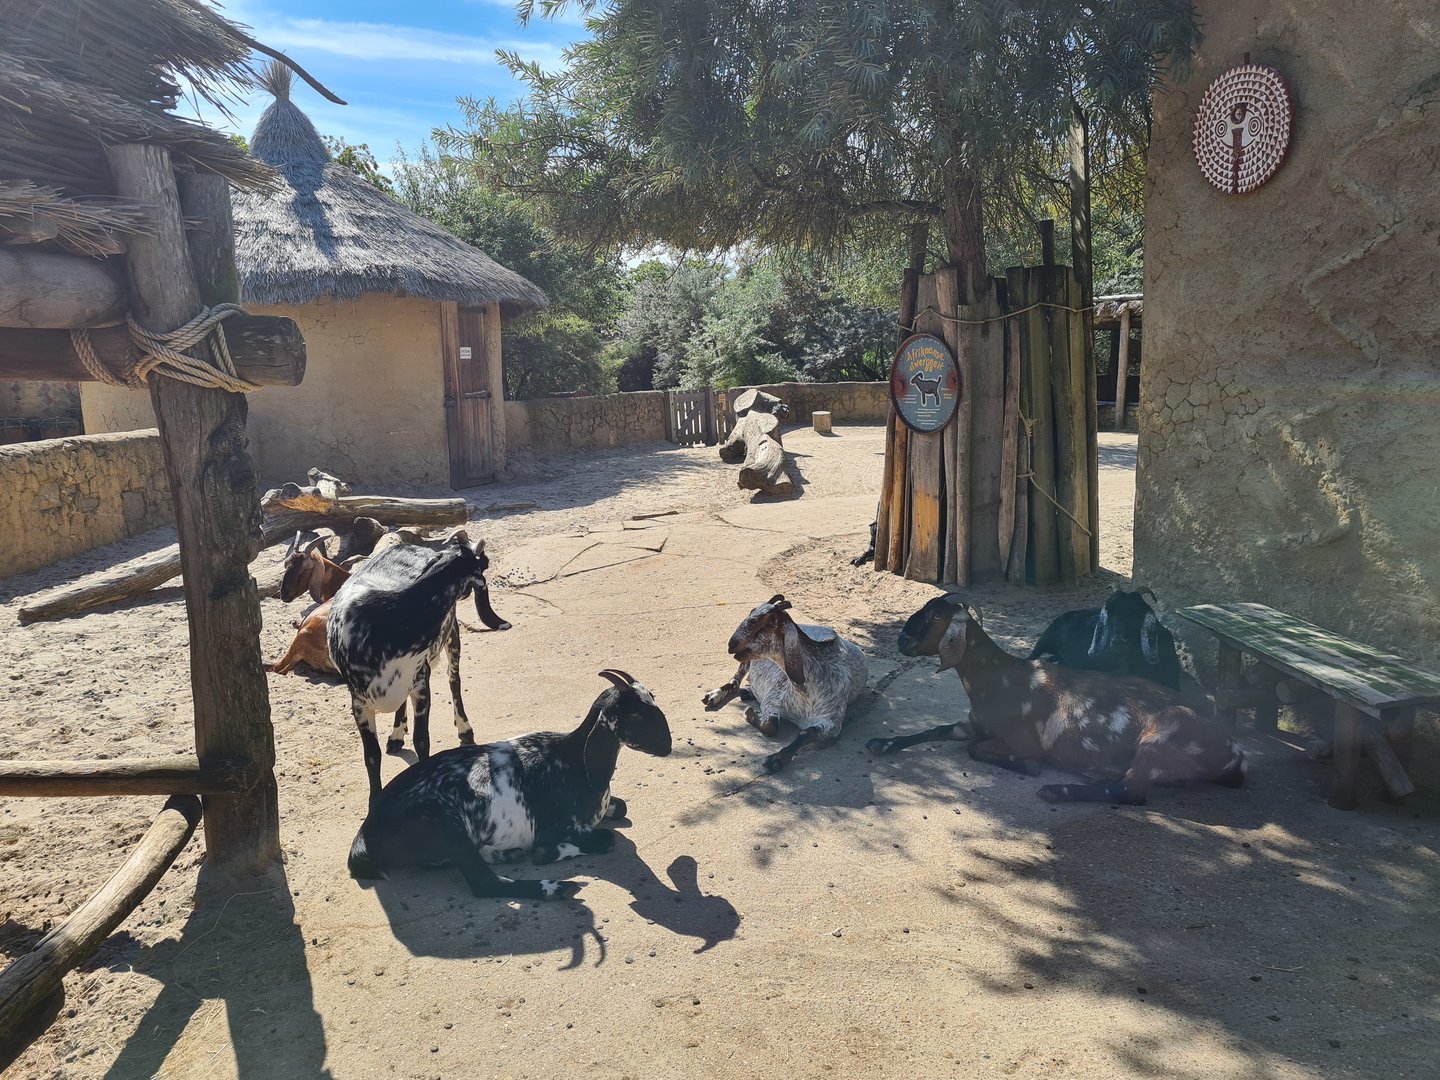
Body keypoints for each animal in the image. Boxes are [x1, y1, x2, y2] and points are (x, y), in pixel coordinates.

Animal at [328, 531, 511, 805]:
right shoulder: (359, 704)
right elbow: (372, 756)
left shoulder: (421, 685)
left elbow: (422, 741)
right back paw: (396, 735)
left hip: (452, 636)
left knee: (454, 681)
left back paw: (464, 730)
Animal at [347, 670, 671, 900]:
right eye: (636, 713)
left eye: (653, 699)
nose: (667, 745)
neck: (573, 761)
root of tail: (364, 838)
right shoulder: (555, 827)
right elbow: (606, 839)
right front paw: (547, 853)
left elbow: (621, 808)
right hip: (443, 820)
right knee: (483, 884)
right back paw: (554, 887)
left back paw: (504, 855)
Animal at [702, 594, 868, 773]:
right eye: (751, 612)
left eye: (767, 624)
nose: (731, 644)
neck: (805, 691)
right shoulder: (773, 700)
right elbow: (771, 725)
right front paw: (750, 713)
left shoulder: (831, 721)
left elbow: (806, 733)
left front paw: (777, 758)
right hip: (748, 660)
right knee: (735, 679)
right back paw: (714, 695)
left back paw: (746, 692)